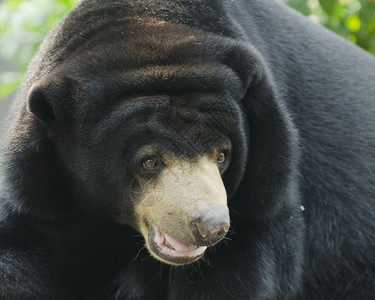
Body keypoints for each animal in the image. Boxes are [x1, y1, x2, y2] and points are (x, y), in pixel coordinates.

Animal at [0, 0, 375, 298]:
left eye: (222, 155)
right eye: (150, 161)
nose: (212, 226)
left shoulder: (264, 189)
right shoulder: (41, 193)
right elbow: (20, 251)